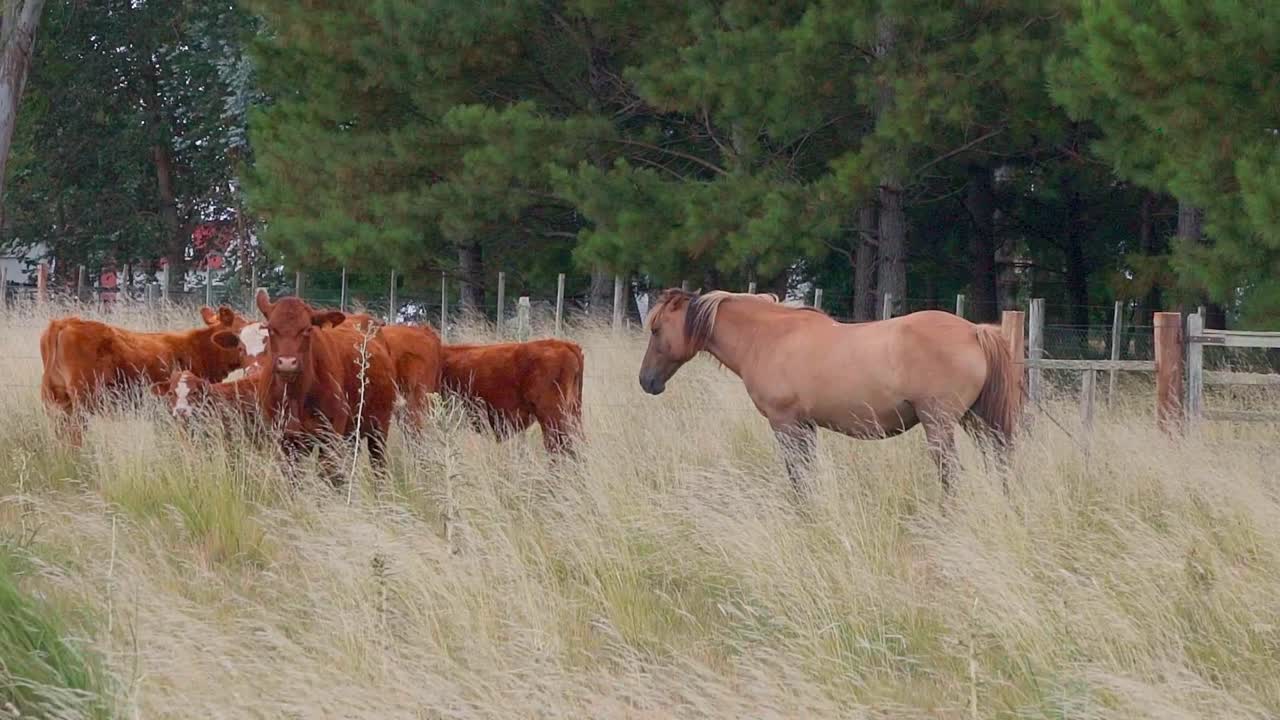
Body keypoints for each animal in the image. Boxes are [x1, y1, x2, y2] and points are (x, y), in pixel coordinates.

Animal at [638, 289, 1021, 496]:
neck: (767, 337)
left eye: (656, 330)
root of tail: (975, 331)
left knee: (951, 477)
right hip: (977, 422)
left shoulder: (786, 425)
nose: (646, 381)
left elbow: (797, 476)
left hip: (939, 425)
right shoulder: (806, 427)